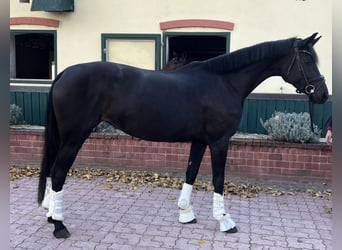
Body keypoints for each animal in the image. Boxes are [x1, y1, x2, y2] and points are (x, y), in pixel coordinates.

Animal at [37, 33, 328, 238]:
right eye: (307, 60)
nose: (323, 94)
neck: (223, 81)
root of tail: (64, 72)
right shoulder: (220, 142)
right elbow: (218, 179)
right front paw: (225, 220)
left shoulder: (199, 141)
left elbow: (191, 172)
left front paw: (186, 212)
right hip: (74, 137)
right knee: (59, 172)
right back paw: (59, 226)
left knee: (52, 171)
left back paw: (52, 215)